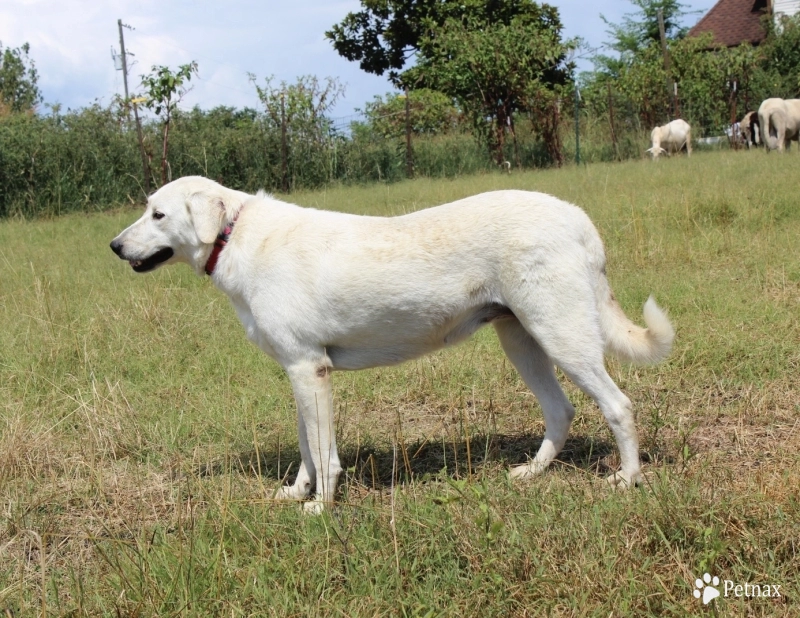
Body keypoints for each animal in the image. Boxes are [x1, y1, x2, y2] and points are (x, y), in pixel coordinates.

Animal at [111, 174, 676, 510]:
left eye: (158, 215)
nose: (115, 246)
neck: (234, 234)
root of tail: (576, 216)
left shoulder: (309, 370)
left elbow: (324, 453)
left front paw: (320, 509)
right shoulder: (299, 371)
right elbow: (307, 447)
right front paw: (296, 493)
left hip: (563, 336)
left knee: (619, 406)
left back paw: (627, 480)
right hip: (523, 341)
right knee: (560, 410)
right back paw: (531, 473)